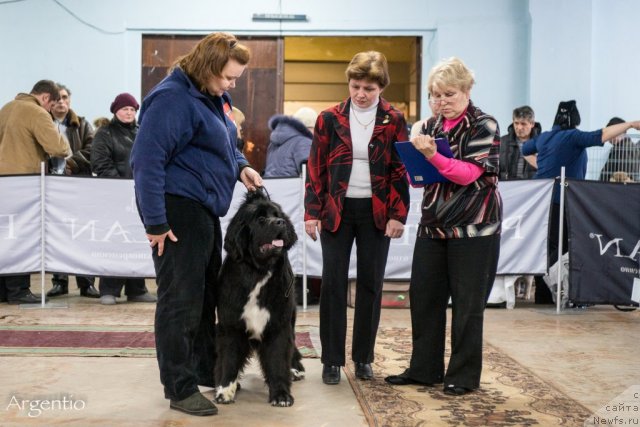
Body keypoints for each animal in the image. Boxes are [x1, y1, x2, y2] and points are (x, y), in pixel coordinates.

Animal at [215, 190, 304, 408]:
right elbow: (229, 359)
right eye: (260, 219)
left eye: (278, 214)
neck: (259, 272)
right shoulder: (231, 325)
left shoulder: (279, 325)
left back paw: (295, 369)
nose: (280, 222)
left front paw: (281, 395)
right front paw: (225, 390)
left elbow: (278, 359)